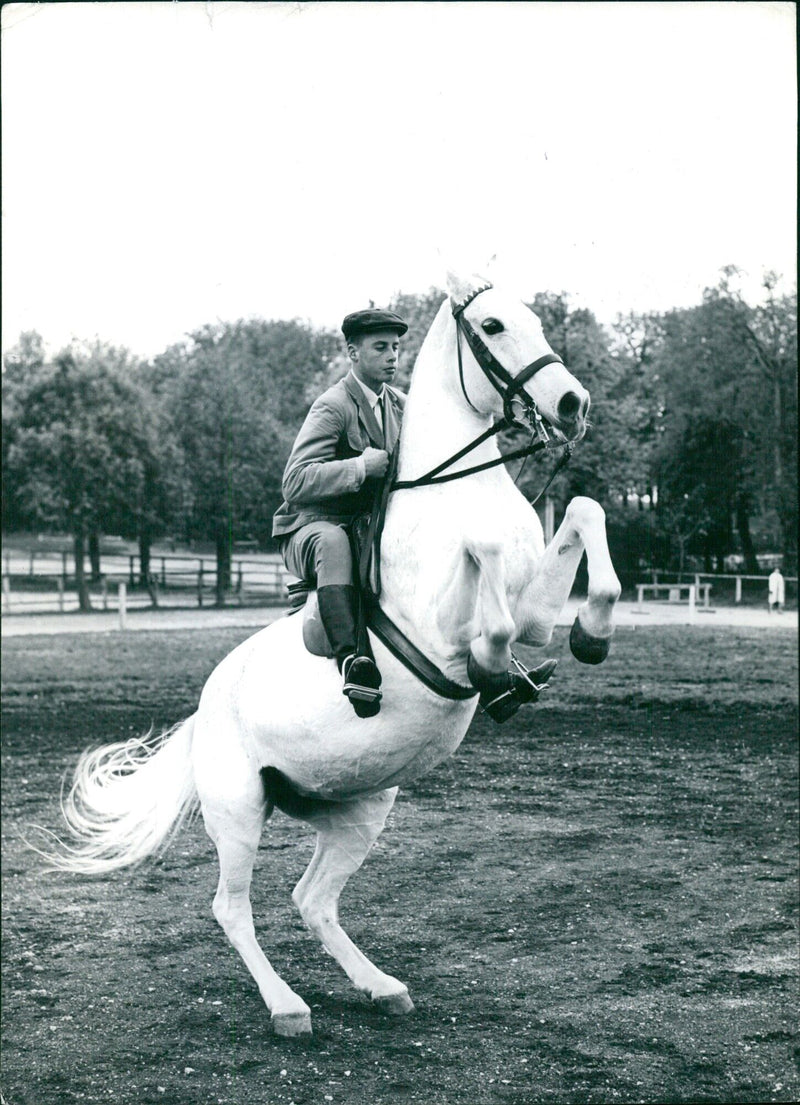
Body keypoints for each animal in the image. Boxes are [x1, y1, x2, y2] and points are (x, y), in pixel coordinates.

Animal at [50, 269, 623, 1034]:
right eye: (494, 327)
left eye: (535, 318)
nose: (572, 403)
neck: (456, 489)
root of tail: (205, 708)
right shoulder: (447, 619)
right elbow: (487, 576)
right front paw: (495, 667)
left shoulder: (533, 613)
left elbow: (584, 514)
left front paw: (589, 633)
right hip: (238, 811)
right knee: (232, 907)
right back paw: (287, 1006)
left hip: (358, 807)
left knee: (313, 898)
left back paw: (380, 986)